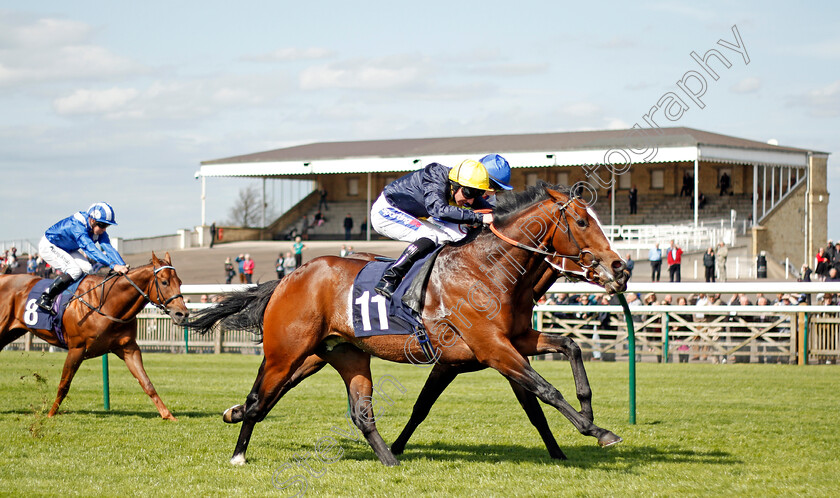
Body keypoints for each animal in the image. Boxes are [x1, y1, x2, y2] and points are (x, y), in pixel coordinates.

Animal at [0, 253, 187, 420]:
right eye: (164, 282)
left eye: (180, 282)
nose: (182, 313)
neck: (106, 303)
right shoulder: (76, 349)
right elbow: (64, 384)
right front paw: (51, 414)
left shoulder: (128, 348)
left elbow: (146, 382)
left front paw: (168, 415)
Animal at [187, 184, 628, 466]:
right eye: (583, 222)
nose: (620, 268)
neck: (488, 269)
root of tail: (290, 276)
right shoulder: (491, 347)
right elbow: (544, 390)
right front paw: (598, 431)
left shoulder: (512, 340)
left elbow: (568, 348)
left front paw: (583, 418)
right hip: (287, 350)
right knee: (262, 397)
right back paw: (239, 452)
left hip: (332, 354)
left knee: (333, 407)